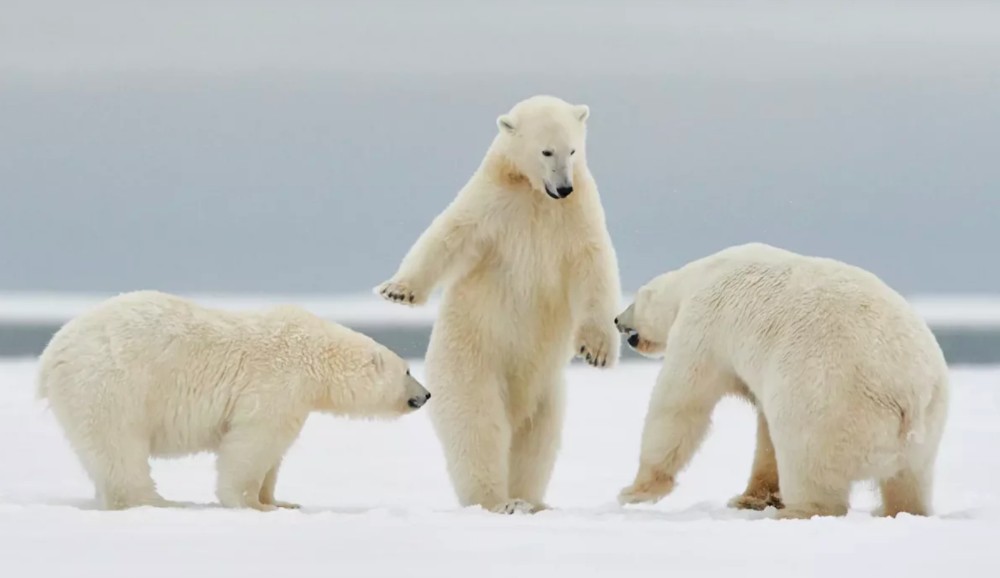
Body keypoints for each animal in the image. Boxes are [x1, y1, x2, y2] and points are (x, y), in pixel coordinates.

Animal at [38, 290, 430, 510]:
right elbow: (253, 444)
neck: (316, 354)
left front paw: (281, 501)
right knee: (120, 448)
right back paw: (158, 501)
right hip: (111, 384)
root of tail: (51, 354)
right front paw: (254, 505)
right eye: (408, 370)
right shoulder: (278, 382)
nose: (425, 395)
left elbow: (274, 455)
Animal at [376, 94, 620, 512]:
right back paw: (497, 501)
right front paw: (398, 290)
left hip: (547, 390)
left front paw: (597, 351)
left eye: (573, 149)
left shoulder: (577, 215)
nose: (564, 187)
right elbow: (449, 234)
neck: (535, 195)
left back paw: (531, 500)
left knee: (537, 439)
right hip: (473, 362)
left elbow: (594, 267)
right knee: (479, 427)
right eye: (546, 150)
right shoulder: (494, 203)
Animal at [612, 241, 948, 520]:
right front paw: (751, 498)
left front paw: (634, 491)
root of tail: (908, 394)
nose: (616, 319)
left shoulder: (703, 325)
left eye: (634, 302)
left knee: (807, 461)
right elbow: (765, 433)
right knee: (909, 480)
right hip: (928, 426)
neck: (703, 274)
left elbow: (680, 402)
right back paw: (900, 510)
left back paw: (796, 511)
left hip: (829, 403)